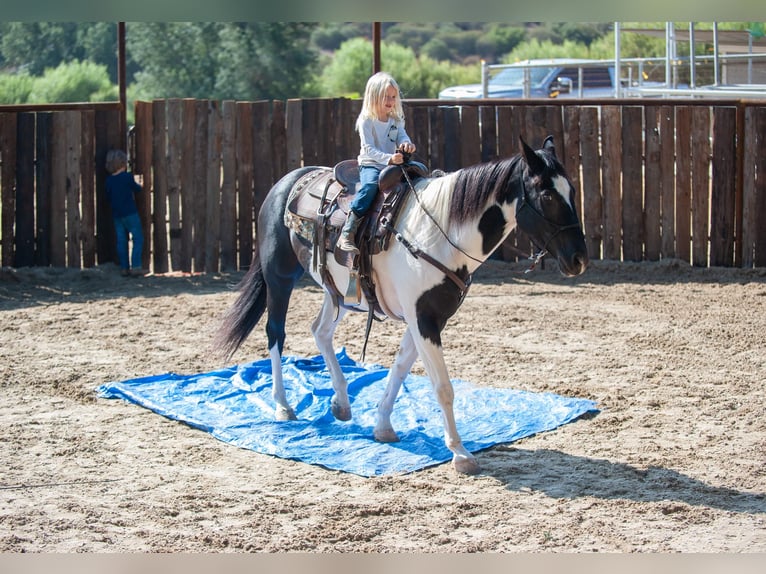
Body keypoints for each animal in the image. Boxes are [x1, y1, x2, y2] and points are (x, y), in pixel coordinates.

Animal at [219, 136, 592, 476]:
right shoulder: (424, 319)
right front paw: (460, 453)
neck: (439, 233)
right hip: (279, 277)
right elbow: (442, 387)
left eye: (573, 190)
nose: (579, 259)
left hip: (337, 291)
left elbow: (399, 369)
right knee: (275, 334)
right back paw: (283, 406)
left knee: (320, 331)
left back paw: (341, 402)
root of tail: (287, 181)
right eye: (547, 194)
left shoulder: (427, 318)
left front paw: (383, 425)